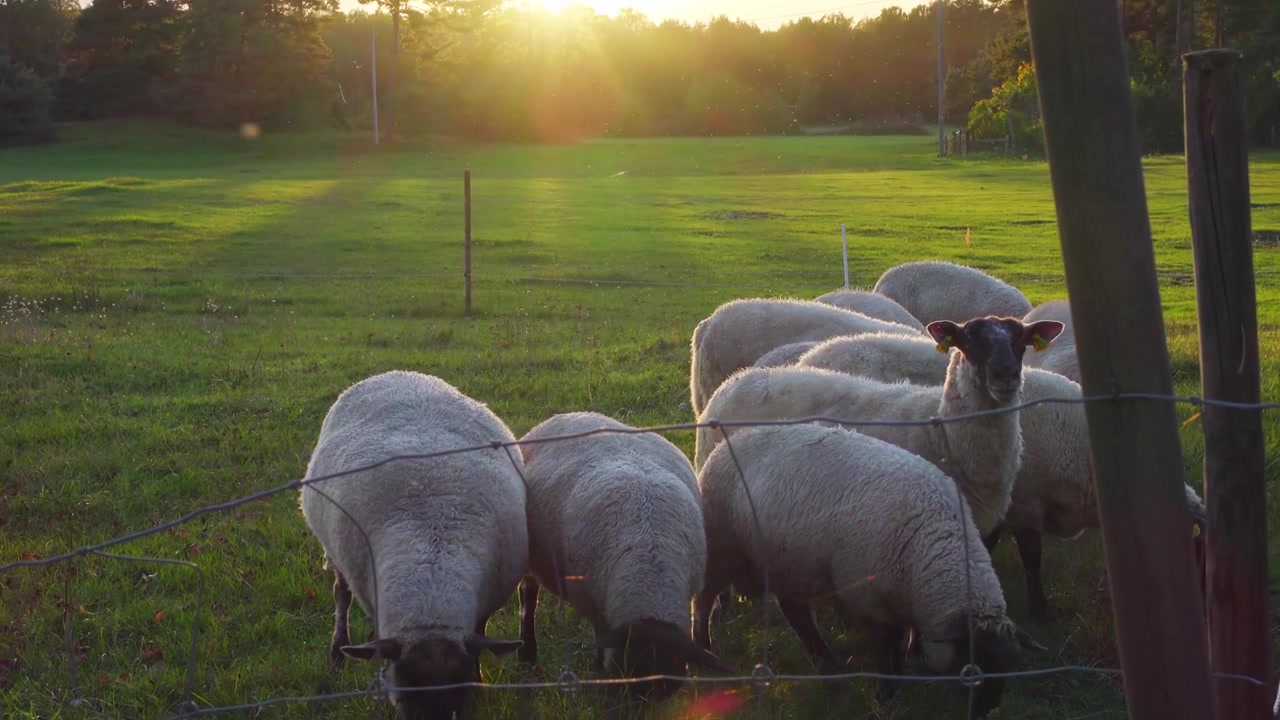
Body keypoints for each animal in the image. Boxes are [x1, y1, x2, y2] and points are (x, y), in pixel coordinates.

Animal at [299, 370, 526, 720]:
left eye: (459, 689)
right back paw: (338, 650)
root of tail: (396, 373)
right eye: (404, 685)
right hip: (338, 558)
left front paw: (479, 678)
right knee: (341, 596)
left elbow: (481, 632)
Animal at [692, 423, 1044, 718]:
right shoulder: (868, 596)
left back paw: (828, 665)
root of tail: (729, 442)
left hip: (788, 563)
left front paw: (906, 669)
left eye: (1010, 667)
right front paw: (887, 693)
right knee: (704, 598)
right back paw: (704, 648)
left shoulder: (900, 597)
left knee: (795, 612)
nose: (984, 713)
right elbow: (886, 646)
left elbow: (904, 636)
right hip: (723, 548)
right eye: (971, 669)